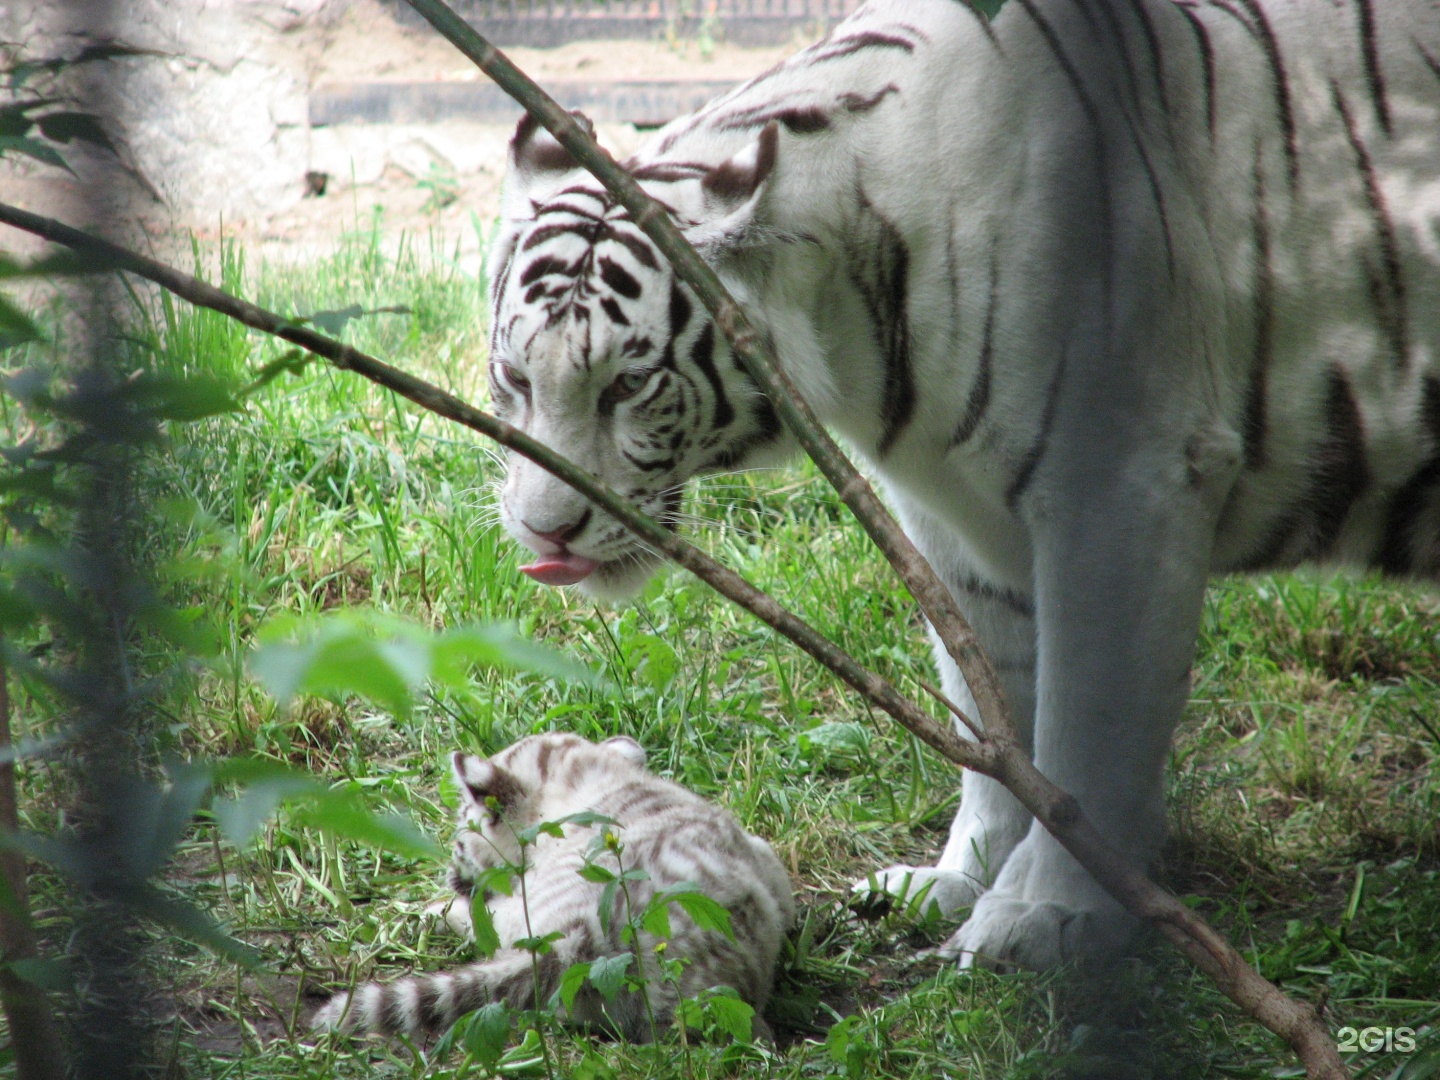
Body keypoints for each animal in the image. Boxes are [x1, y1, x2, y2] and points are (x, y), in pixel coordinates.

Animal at [486, 0, 1440, 973]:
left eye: (628, 386)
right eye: (516, 377)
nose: (543, 532)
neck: (863, 333)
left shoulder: (1126, 492)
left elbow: (1083, 728)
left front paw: (1046, 912)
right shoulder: (951, 521)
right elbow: (992, 708)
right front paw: (957, 878)